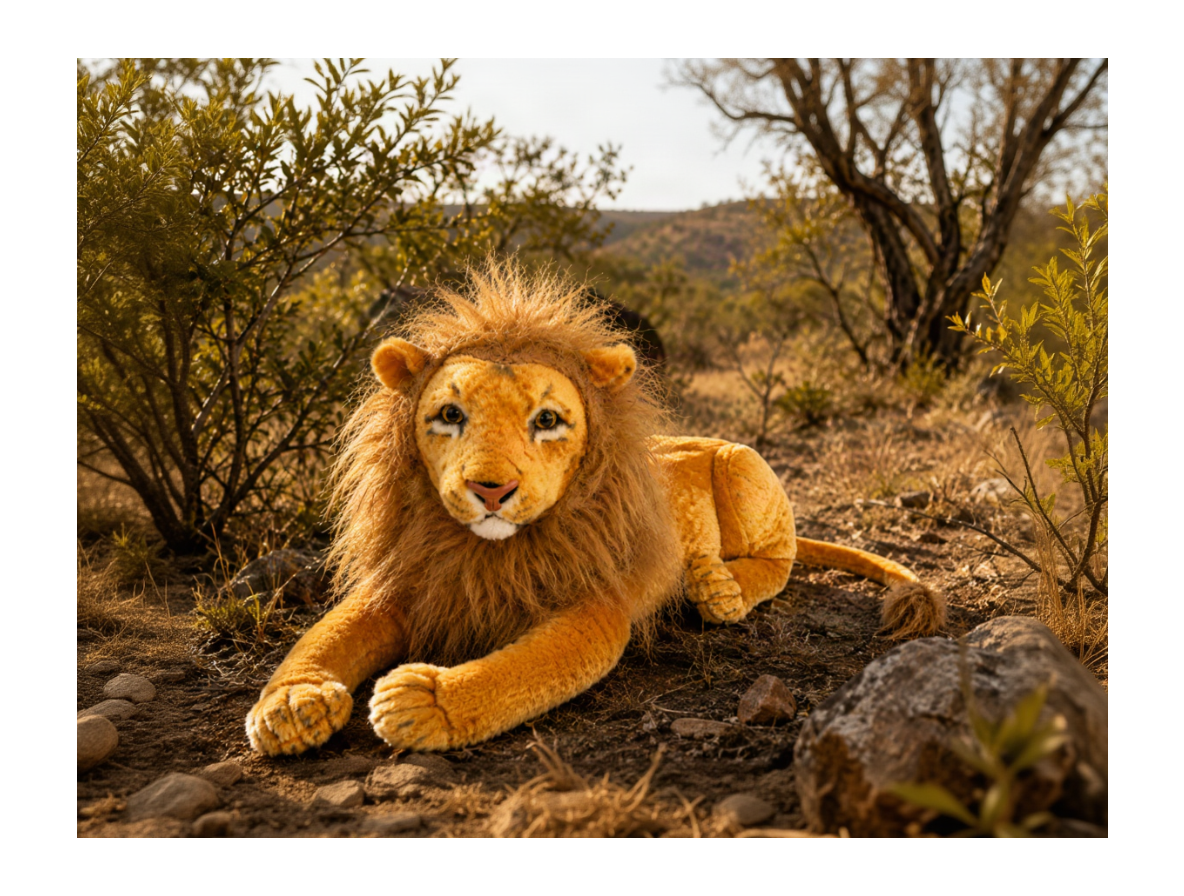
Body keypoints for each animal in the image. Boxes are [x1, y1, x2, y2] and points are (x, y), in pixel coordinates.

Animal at [246, 262, 944, 756]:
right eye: (449, 414)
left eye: (547, 420)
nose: (491, 491)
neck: (486, 551)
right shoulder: (406, 581)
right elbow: (325, 634)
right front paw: (293, 704)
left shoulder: (596, 605)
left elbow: (523, 668)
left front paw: (427, 700)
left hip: (740, 460)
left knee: (781, 556)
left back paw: (716, 588)